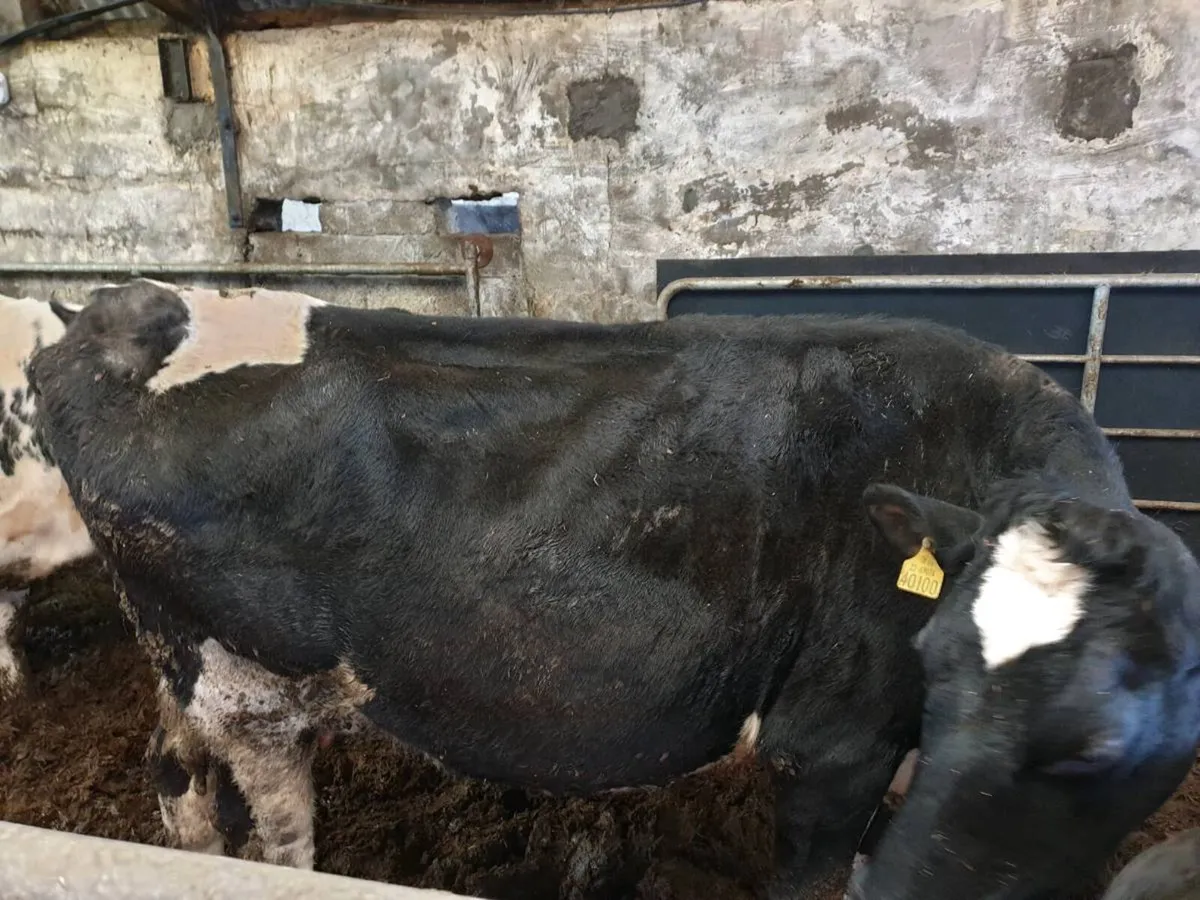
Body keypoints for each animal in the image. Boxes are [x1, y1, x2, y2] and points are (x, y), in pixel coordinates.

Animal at [28, 278, 1200, 900]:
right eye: (929, 664)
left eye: (1094, 744)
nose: (916, 885)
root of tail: (123, 309)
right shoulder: (834, 740)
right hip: (248, 684)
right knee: (273, 828)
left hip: (189, 672)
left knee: (178, 783)